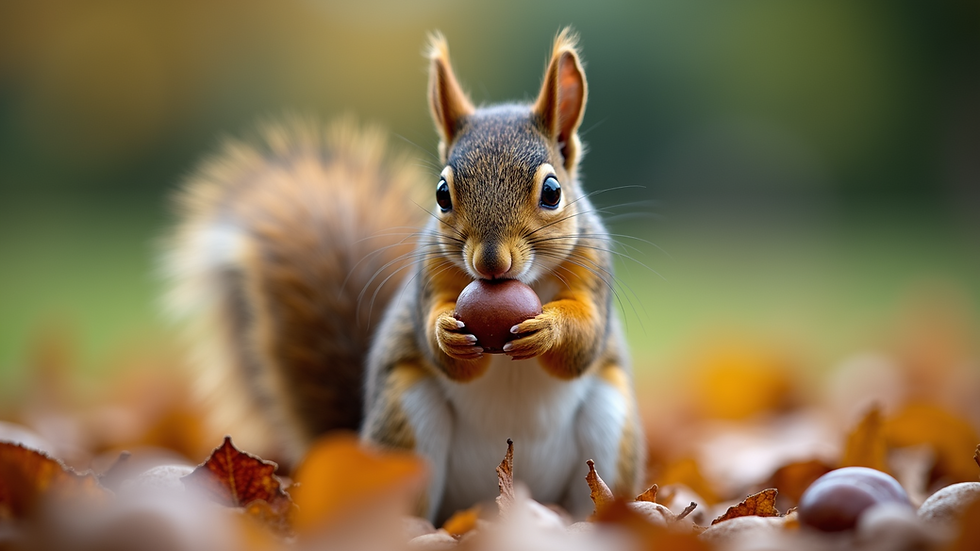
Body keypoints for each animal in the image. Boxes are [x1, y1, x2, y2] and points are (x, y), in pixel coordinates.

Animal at [165, 28, 643, 522]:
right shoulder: (428, 274)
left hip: (609, 422)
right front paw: (446, 331)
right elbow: (446, 355)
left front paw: (547, 328)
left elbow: (585, 343)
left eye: (552, 191)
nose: (491, 263)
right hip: (407, 418)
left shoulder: (593, 269)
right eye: (442, 193)